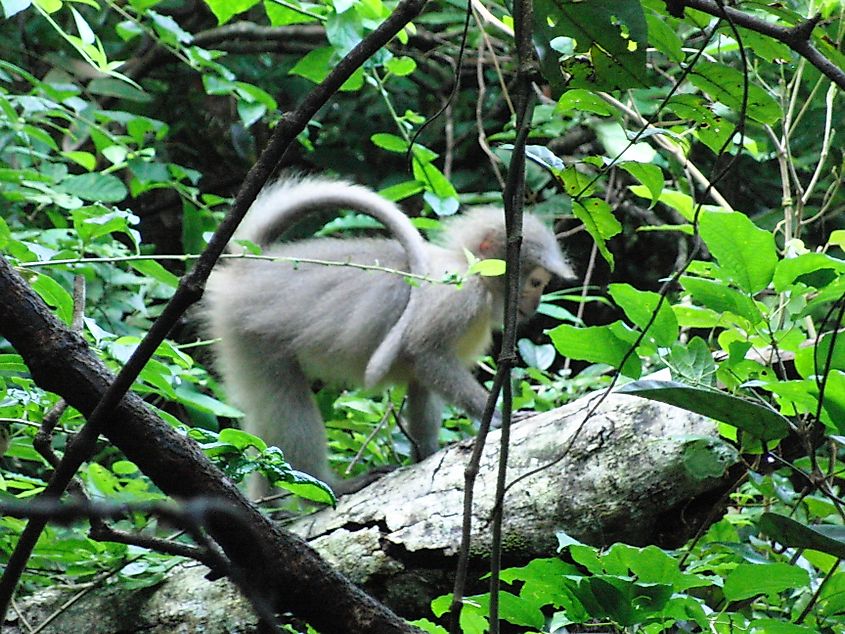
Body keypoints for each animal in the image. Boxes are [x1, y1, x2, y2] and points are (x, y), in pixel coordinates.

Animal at [204, 176, 573, 497]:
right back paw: (324, 488)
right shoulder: (460, 297)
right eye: (535, 282)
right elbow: (425, 353)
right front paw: (496, 418)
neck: (472, 270)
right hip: (249, 335)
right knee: (286, 399)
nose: (534, 304)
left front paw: (425, 454)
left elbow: (421, 381)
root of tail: (248, 268)